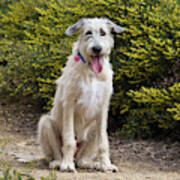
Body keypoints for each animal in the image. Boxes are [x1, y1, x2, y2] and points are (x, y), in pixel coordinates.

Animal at [37, 17, 124, 172]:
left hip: (93, 128)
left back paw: (94, 164)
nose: (97, 49)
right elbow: (69, 140)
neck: (91, 71)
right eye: (88, 33)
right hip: (45, 123)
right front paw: (67, 165)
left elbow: (103, 142)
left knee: (82, 160)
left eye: (103, 33)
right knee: (55, 154)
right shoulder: (69, 103)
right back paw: (60, 162)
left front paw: (106, 165)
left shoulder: (103, 108)